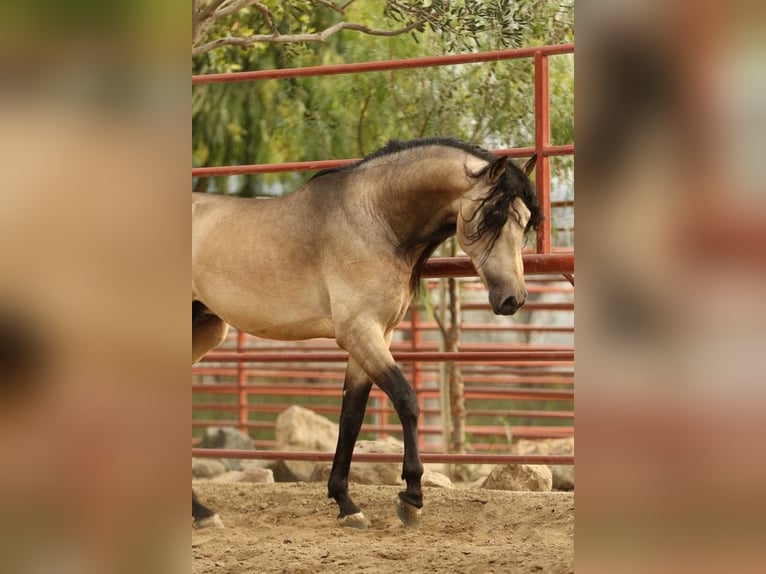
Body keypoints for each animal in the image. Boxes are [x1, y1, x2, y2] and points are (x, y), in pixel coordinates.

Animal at [191, 136, 540, 532]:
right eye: (492, 217)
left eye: (525, 221)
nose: (513, 299)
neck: (373, 221)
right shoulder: (359, 332)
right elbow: (406, 400)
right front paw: (411, 499)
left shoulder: (376, 335)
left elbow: (351, 416)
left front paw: (346, 503)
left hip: (206, 329)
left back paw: (202, 513)